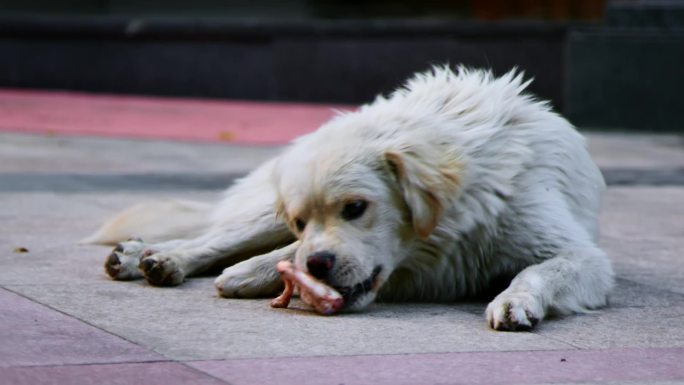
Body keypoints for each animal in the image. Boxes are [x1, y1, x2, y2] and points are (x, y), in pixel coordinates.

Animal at [87, 66, 616, 330]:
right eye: (302, 221)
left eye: (356, 208)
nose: (319, 265)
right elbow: (277, 254)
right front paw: (251, 273)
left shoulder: (579, 254)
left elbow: (538, 271)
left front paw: (515, 300)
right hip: (261, 213)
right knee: (215, 238)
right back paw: (154, 257)